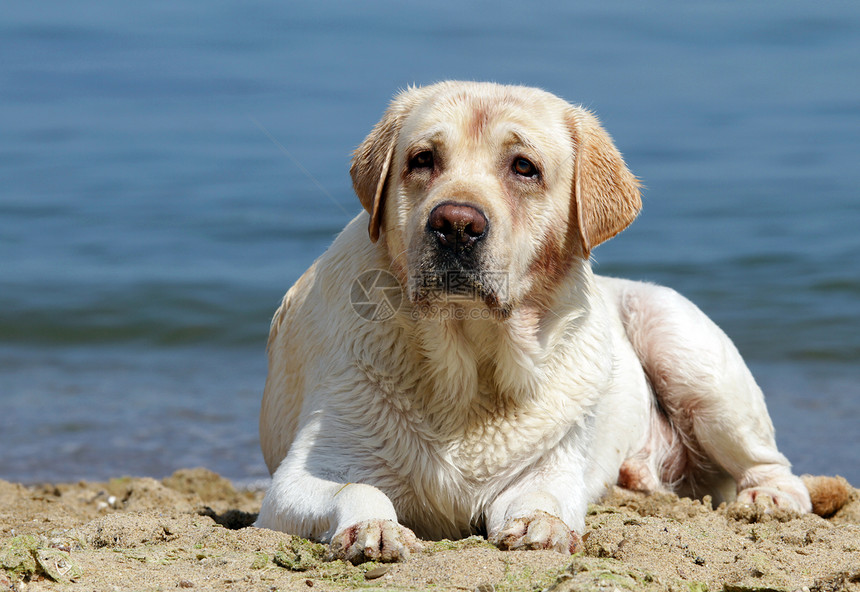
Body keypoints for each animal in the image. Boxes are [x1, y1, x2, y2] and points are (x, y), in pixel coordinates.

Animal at [254, 81, 808, 560]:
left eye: (524, 167)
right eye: (422, 160)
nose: (455, 224)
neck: (468, 370)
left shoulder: (551, 466)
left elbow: (540, 499)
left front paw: (540, 525)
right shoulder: (301, 475)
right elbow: (355, 486)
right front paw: (373, 527)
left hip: (682, 342)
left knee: (772, 465)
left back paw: (769, 500)